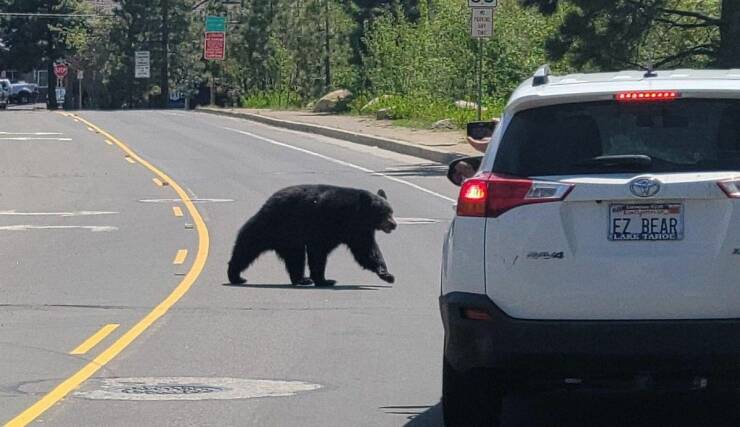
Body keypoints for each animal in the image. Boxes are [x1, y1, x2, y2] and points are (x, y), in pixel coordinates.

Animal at [227, 185, 396, 288]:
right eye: (384, 213)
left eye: (391, 211)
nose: (394, 224)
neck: (354, 213)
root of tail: (267, 203)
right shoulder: (326, 222)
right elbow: (319, 250)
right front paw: (324, 280)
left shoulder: (358, 231)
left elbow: (366, 251)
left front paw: (387, 274)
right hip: (272, 225)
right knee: (247, 246)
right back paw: (236, 276)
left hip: (289, 239)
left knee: (295, 257)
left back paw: (302, 279)